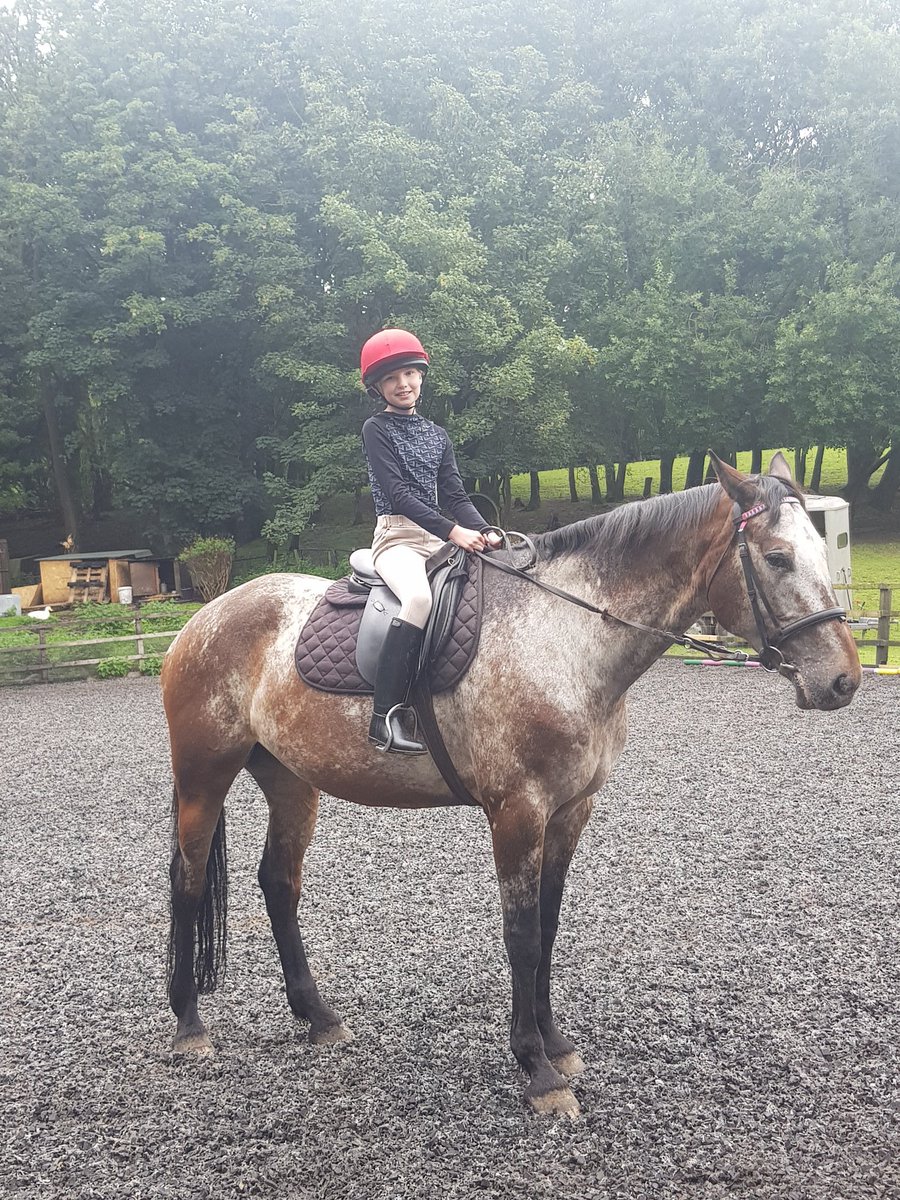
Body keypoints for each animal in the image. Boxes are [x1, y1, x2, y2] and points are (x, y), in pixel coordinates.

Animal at [162, 453, 860, 1117]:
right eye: (777, 557)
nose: (843, 681)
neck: (566, 637)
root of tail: (207, 615)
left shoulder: (570, 810)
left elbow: (547, 926)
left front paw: (556, 1045)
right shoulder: (517, 810)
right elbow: (521, 936)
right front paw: (537, 1071)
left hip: (291, 782)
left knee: (278, 884)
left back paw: (318, 1018)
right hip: (204, 775)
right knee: (188, 881)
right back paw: (190, 1026)